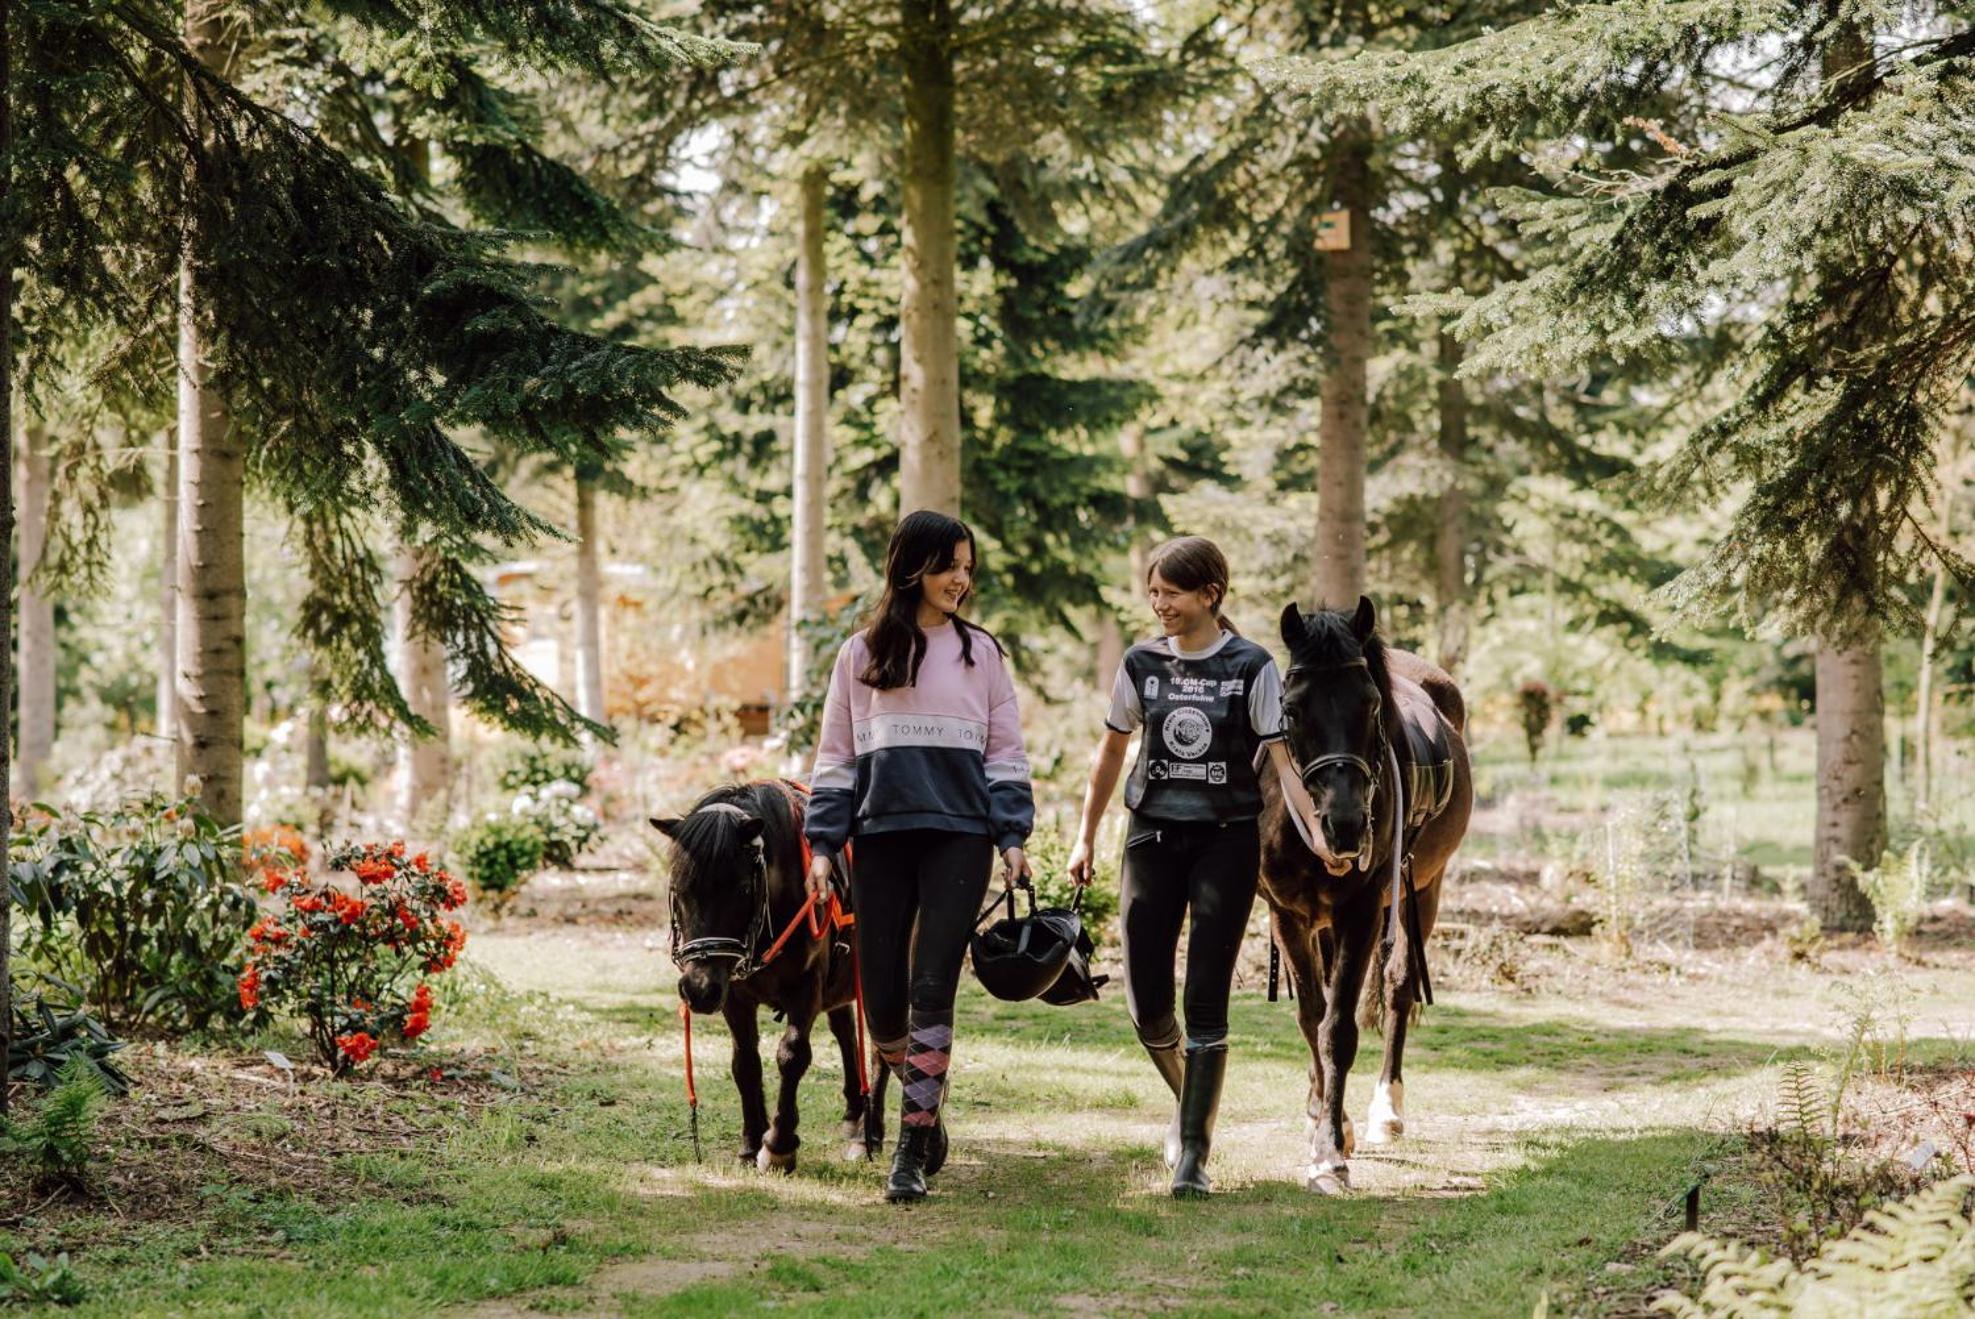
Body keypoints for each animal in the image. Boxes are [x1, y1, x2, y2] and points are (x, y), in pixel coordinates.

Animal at [651, 777, 884, 1168]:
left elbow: (792, 1055)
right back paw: (855, 1115)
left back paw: (872, 1134)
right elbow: (744, 1061)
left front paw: (779, 1145)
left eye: (742, 889)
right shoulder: (733, 994)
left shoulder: (806, 987)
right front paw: (750, 1142)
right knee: (845, 1030)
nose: (698, 989)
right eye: (678, 890)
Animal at [1264, 596, 1469, 1192]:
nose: (1346, 824)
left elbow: (1338, 1029)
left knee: (1398, 987)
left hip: (1423, 890)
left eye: (1372, 704)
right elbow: (1312, 1016)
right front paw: (1325, 1120)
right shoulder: (1286, 914)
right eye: (1293, 707)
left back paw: (1386, 1110)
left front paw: (1330, 1152)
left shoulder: (1361, 913)